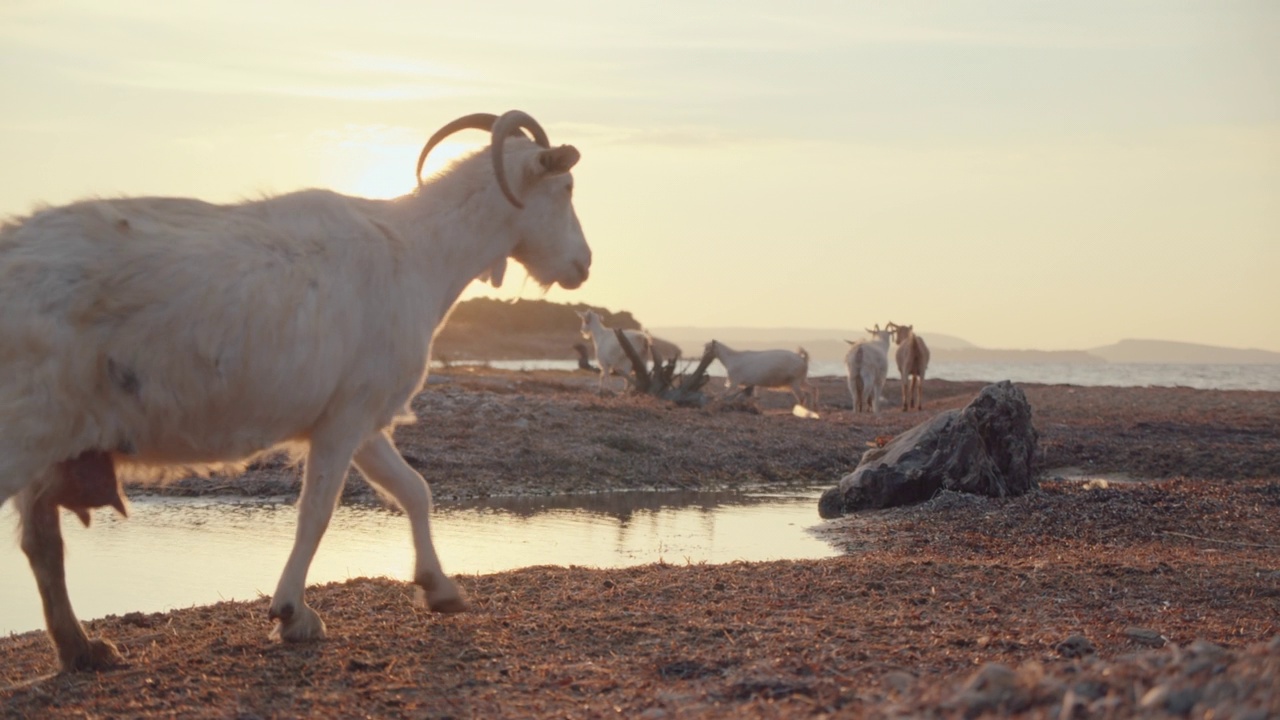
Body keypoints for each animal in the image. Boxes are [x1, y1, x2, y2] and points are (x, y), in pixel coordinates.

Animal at [0, 109, 588, 671]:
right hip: (23, 430)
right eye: (565, 188)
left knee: (42, 542)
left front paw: (440, 589)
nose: (583, 264)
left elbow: (412, 489)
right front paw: (292, 614)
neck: (419, 252)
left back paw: (83, 650)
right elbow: (317, 512)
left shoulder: (358, 414)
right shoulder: (345, 418)